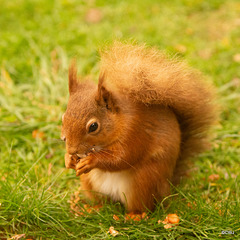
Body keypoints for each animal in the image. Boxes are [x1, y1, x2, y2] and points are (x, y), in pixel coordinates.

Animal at [61, 42, 217, 213]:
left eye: (93, 126)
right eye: (63, 116)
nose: (72, 150)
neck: (119, 121)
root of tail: (167, 188)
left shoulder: (135, 132)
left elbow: (122, 158)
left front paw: (91, 160)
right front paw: (68, 160)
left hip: (144, 181)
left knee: (142, 205)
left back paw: (135, 215)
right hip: (89, 182)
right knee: (102, 201)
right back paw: (93, 208)